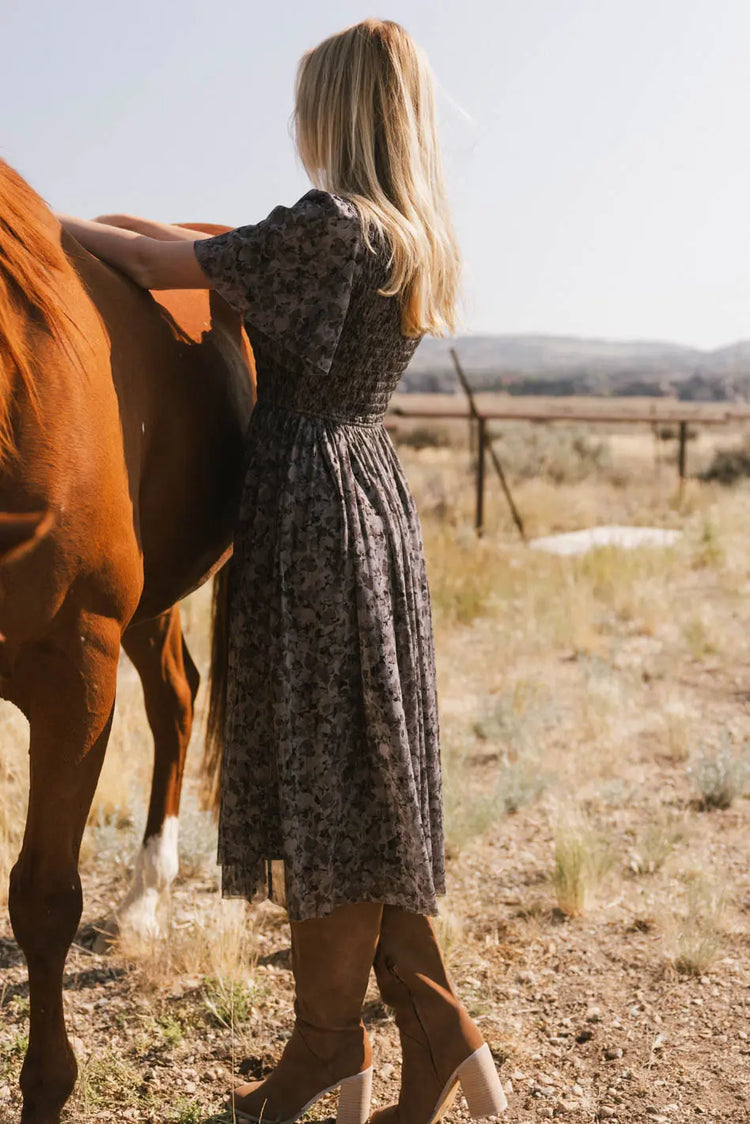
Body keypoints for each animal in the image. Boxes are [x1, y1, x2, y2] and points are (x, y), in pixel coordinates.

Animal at [0, 160, 254, 1124]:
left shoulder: (76, 676)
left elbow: (42, 899)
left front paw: (46, 1087)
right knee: (179, 697)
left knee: (182, 709)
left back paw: (151, 894)